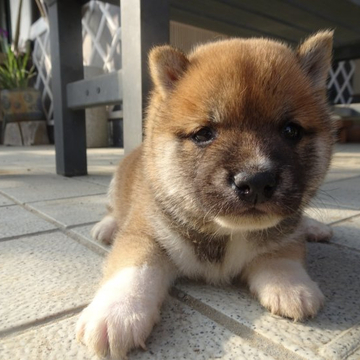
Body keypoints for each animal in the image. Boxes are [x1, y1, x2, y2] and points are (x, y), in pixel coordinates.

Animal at [76, 31, 334, 360]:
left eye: (291, 131)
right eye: (203, 134)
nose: (256, 181)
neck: (224, 234)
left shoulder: (284, 233)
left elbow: (282, 253)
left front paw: (290, 284)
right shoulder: (145, 234)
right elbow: (133, 270)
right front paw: (117, 312)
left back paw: (315, 227)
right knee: (112, 211)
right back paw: (106, 227)